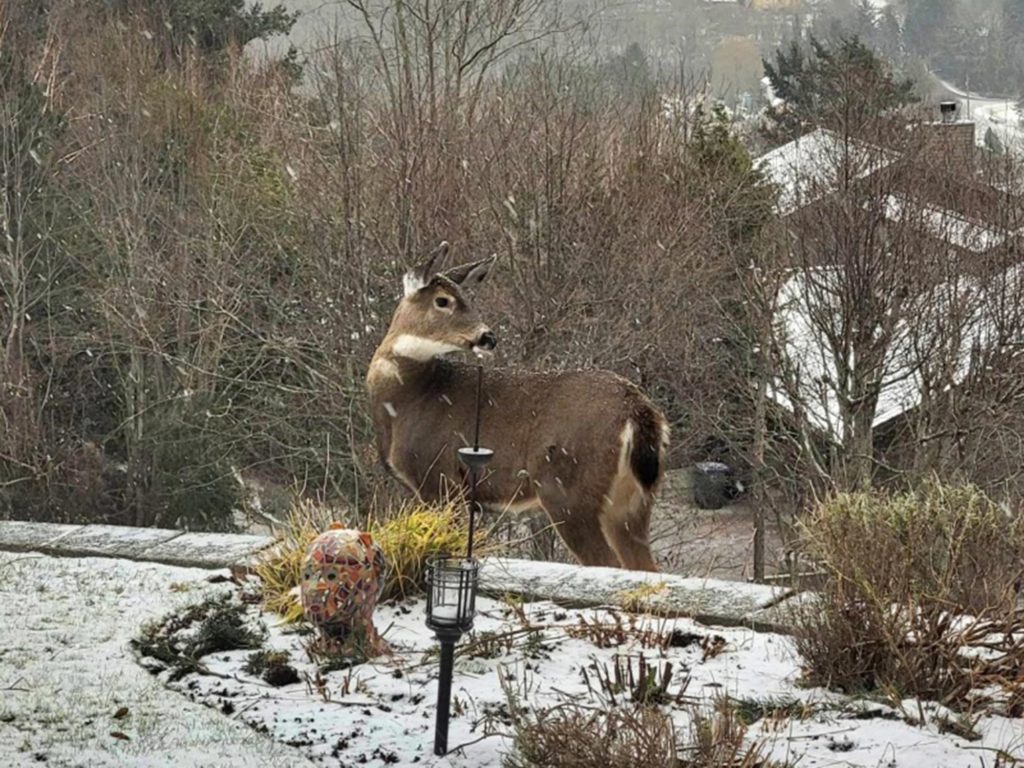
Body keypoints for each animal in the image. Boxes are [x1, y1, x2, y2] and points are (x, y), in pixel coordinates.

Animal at [365, 243, 669, 572]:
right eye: (443, 300)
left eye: (465, 298)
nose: (487, 337)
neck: (407, 400)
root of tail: (638, 410)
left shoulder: (439, 478)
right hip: (633, 503)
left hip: (567, 491)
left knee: (607, 564)